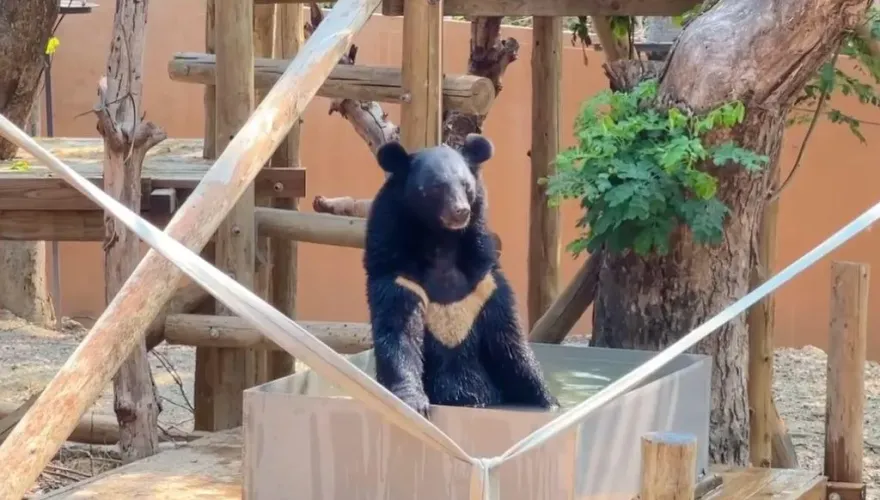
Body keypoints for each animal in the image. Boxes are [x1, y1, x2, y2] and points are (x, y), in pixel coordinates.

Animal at [363, 133, 558, 417]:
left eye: (466, 185)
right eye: (435, 187)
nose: (461, 211)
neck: (442, 242)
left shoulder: (484, 282)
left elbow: (510, 343)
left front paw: (547, 401)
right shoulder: (398, 273)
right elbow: (399, 334)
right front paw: (414, 402)